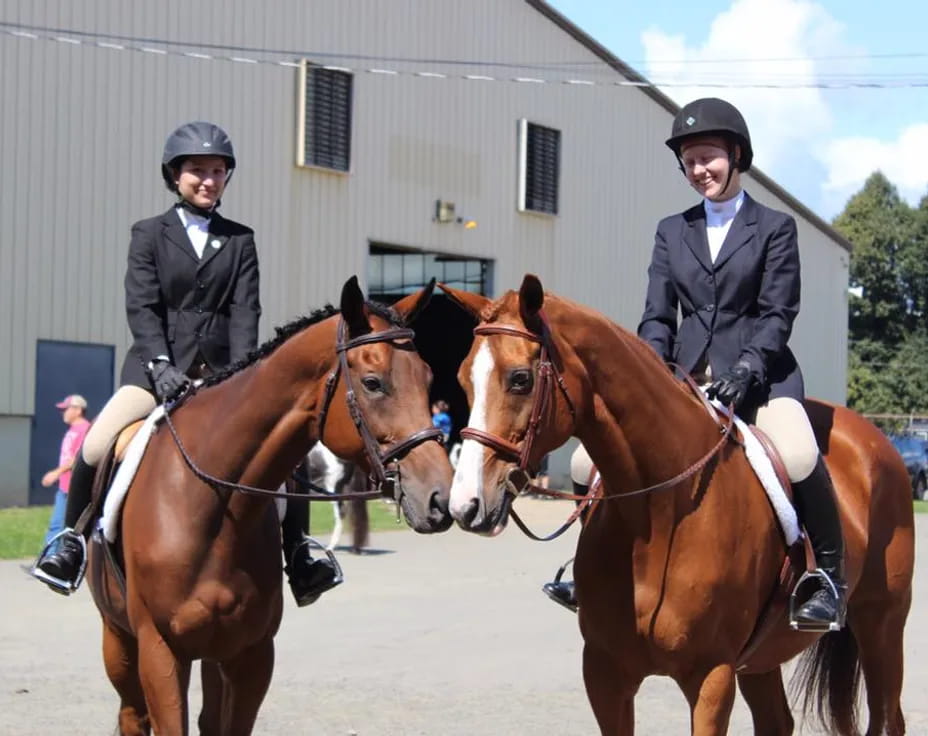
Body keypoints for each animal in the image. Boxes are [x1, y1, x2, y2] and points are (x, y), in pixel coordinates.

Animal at [87, 276, 453, 736]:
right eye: (372, 382)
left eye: (427, 377)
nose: (441, 497)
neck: (212, 511)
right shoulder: (159, 648)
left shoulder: (253, 654)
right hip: (117, 638)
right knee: (132, 715)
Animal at [439, 275, 914, 735]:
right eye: (462, 379)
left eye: (520, 378)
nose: (465, 505)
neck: (657, 518)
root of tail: (876, 440)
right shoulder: (605, 673)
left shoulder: (711, 677)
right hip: (762, 656)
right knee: (777, 720)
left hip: (882, 624)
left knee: (887, 717)